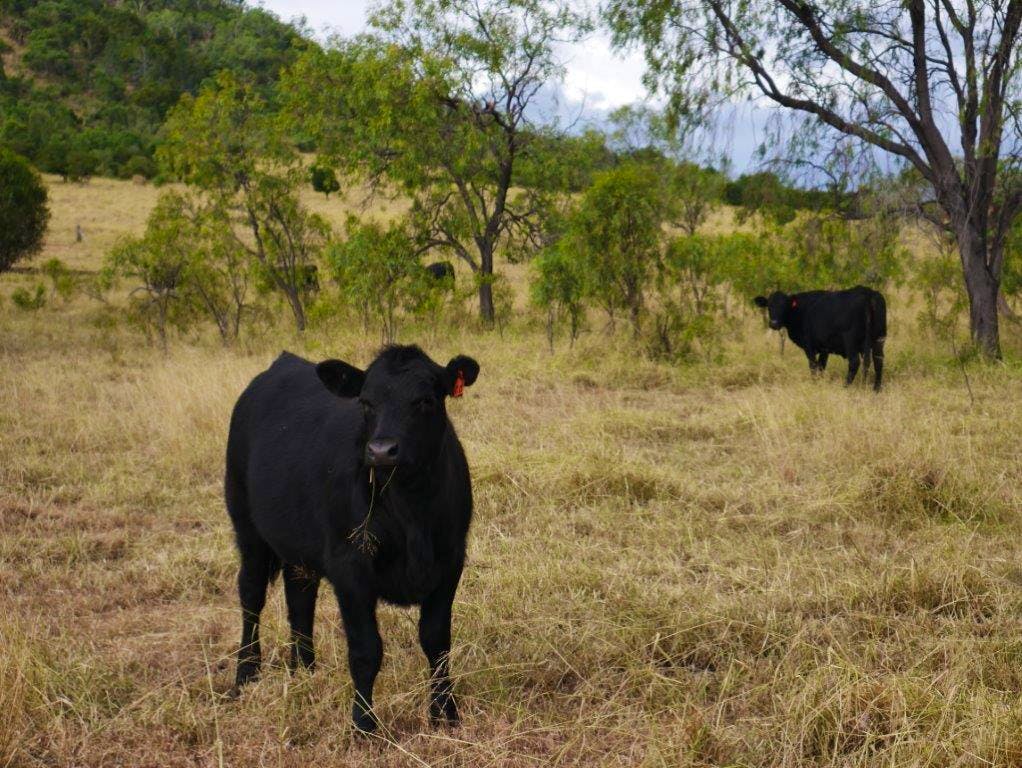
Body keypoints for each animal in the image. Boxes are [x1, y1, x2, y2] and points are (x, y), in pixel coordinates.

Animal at [223, 347, 478, 732]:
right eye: (366, 402)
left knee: (300, 598)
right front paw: (364, 724)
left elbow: (436, 641)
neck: (411, 511)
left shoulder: (449, 562)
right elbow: (365, 649)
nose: (382, 450)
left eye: (425, 400)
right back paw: (246, 675)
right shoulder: (350, 567)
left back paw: (304, 671)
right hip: (247, 526)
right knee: (251, 596)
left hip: (298, 546)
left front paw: (445, 713)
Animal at [752, 290, 887, 392]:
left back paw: (845, 386)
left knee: (855, 362)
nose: (774, 323)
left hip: (851, 341)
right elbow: (822, 366)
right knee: (878, 361)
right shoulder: (824, 348)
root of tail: (868, 294)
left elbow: (813, 366)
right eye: (769, 306)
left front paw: (815, 383)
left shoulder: (809, 346)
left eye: (784, 306)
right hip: (879, 339)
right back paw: (876, 389)